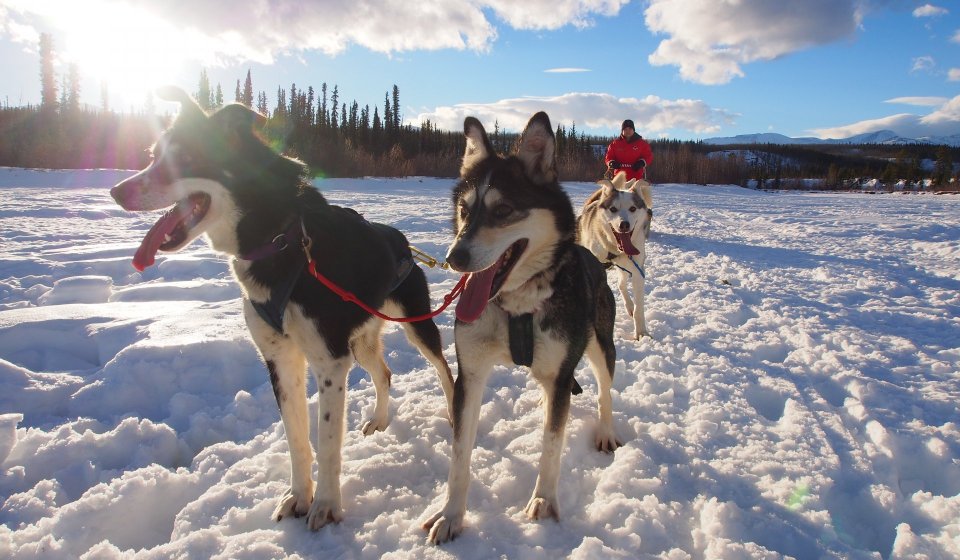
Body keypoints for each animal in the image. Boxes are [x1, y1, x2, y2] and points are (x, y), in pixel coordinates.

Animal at [110, 86, 456, 528]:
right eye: (153, 155)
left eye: (185, 157)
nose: (117, 191)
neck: (281, 241)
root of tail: (400, 239)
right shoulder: (281, 360)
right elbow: (298, 441)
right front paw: (299, 496)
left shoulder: (329, 363)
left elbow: (327, 442)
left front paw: (326, 505)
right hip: (360, 342)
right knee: (384, 373)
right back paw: (379, 420)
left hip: (415, 325)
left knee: (445, 371)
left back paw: (453, 413)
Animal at [422, 111, 620, 544]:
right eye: (464, 210)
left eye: (503, 210)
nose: (455, 258)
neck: (517, 308)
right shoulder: (470, 376)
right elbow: (459, 456)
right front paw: (451, 515)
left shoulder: (562, 375)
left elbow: (551, 445)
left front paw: (543, 501)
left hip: (600, 347)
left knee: (604, 391)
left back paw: (605, 430)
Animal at [576, 175, 652, 340]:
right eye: (613, 209)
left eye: (633, 208)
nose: (624, 224)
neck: (615, 248)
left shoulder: (638, 272)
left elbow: (639, 308)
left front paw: (641, 332)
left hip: (625, 268)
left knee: (621, 284)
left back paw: (629, 306)